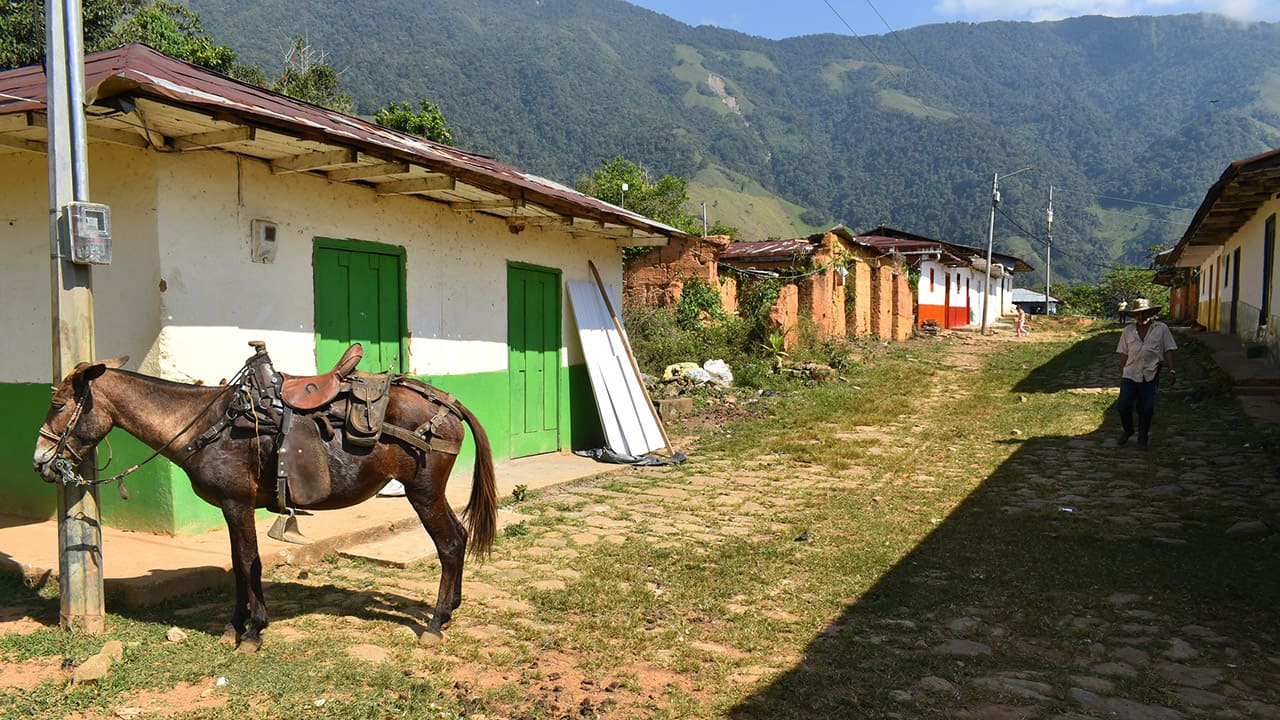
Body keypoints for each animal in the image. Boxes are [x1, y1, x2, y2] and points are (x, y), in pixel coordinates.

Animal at [31, 348, 494, 650]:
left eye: (58, 403)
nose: (40, 462)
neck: (203, 424)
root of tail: (447, 403)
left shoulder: (237, 504)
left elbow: (249, 563)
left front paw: (253, 631)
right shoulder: (230, 507)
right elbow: (237, 566)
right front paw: (233, 627)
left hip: (422, 491)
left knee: (449, 544)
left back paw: (436, 622)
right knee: (459, 537)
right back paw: (450, 609)